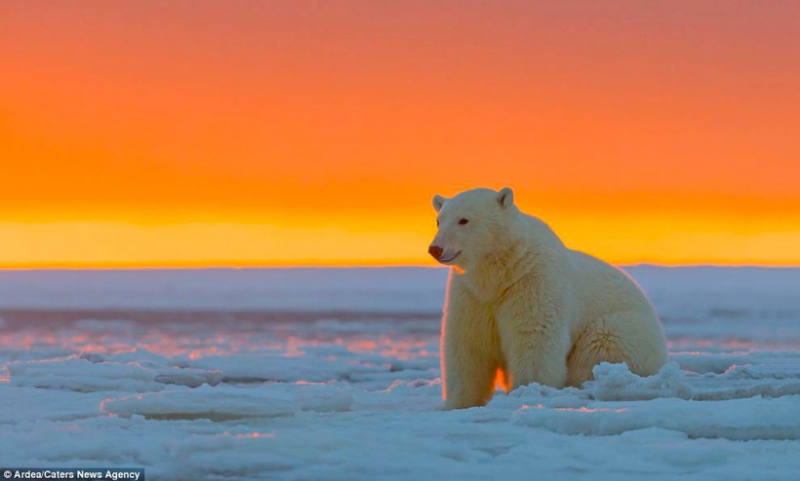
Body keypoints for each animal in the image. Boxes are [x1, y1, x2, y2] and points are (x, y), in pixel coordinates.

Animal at [432, 186, 668, 406]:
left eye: (464, 220)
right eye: (439, 220)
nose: (435, 248)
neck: (500, 272)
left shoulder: (532, 281)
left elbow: (534, 338)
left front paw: (528, 390)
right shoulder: (471, 294)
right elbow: (468, 345)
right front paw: (459, 403)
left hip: (625, 330)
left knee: (602, 343)